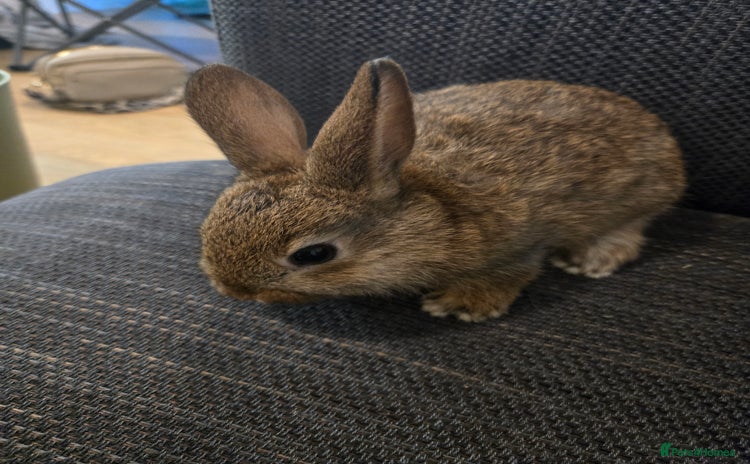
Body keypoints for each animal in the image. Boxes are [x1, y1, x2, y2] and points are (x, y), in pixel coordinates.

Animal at [185, 58, 685, 322]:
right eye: (206, 230)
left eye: (313, 255)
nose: (233, 290)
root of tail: (662, 134)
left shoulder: (520, 240)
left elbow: (514, 270)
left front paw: (458, 305)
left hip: (635, 198)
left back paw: (590, 261)